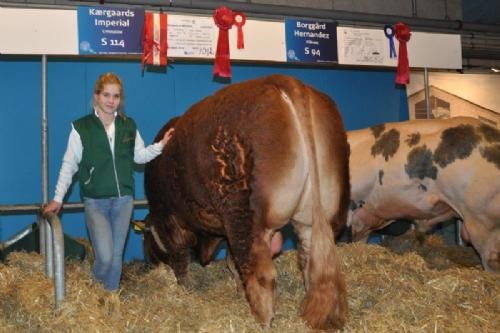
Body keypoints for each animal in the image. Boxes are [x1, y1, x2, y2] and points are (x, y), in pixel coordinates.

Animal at [143, 74, 350, 328]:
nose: (149, 262)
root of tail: (286, 81)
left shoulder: (173, 223)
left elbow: (182, 261)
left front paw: (185, 289)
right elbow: (230, 262)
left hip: (246, 218)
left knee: (261, 274)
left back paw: (262, 321)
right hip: (313, 217)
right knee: (311, 263)